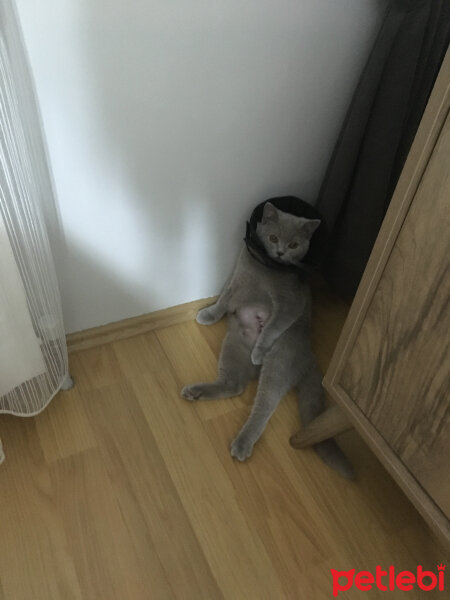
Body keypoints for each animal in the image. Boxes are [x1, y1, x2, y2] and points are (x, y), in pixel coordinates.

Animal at [181, 202, 354, 478]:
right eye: (273, 238)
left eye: (294, 244)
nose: (281, 252)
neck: (261, 271)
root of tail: (311, 357)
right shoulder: (237, 279)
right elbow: (224, 299)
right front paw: (208, 315)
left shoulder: (290, 304)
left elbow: (274, 324)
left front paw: (259, 349)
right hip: (234, 344)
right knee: (234, 385)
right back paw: (196, 392)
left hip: (281, 358)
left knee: (265, 405)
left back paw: (242, 444)